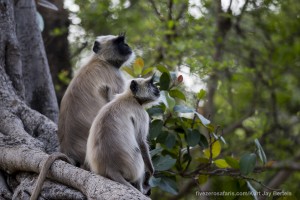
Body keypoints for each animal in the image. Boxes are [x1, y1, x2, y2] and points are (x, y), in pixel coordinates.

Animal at [58, 33, 135, 167]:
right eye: (119, 42)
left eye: (123, 42)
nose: (126, 45)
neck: (100, 59)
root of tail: (69, 151)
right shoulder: (115, 75)